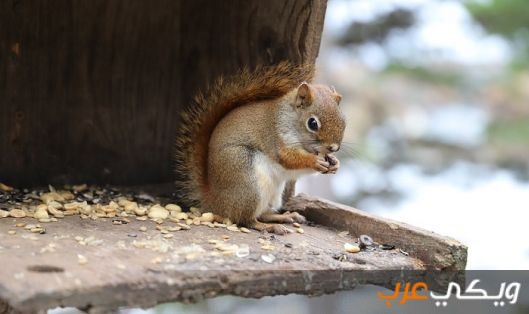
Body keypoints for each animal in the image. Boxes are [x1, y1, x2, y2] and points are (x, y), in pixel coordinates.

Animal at [174, 62, 346, 233]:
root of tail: (214, 201)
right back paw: (268, 226)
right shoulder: (275, 139)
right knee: (246, 220)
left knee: (263, 214)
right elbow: (288, 158)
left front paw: (334, 163)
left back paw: (285, 217)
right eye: (312, 123)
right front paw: (314, 161)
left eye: (344, 121)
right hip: (247, 181)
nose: (334, 148)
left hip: (273, 193)